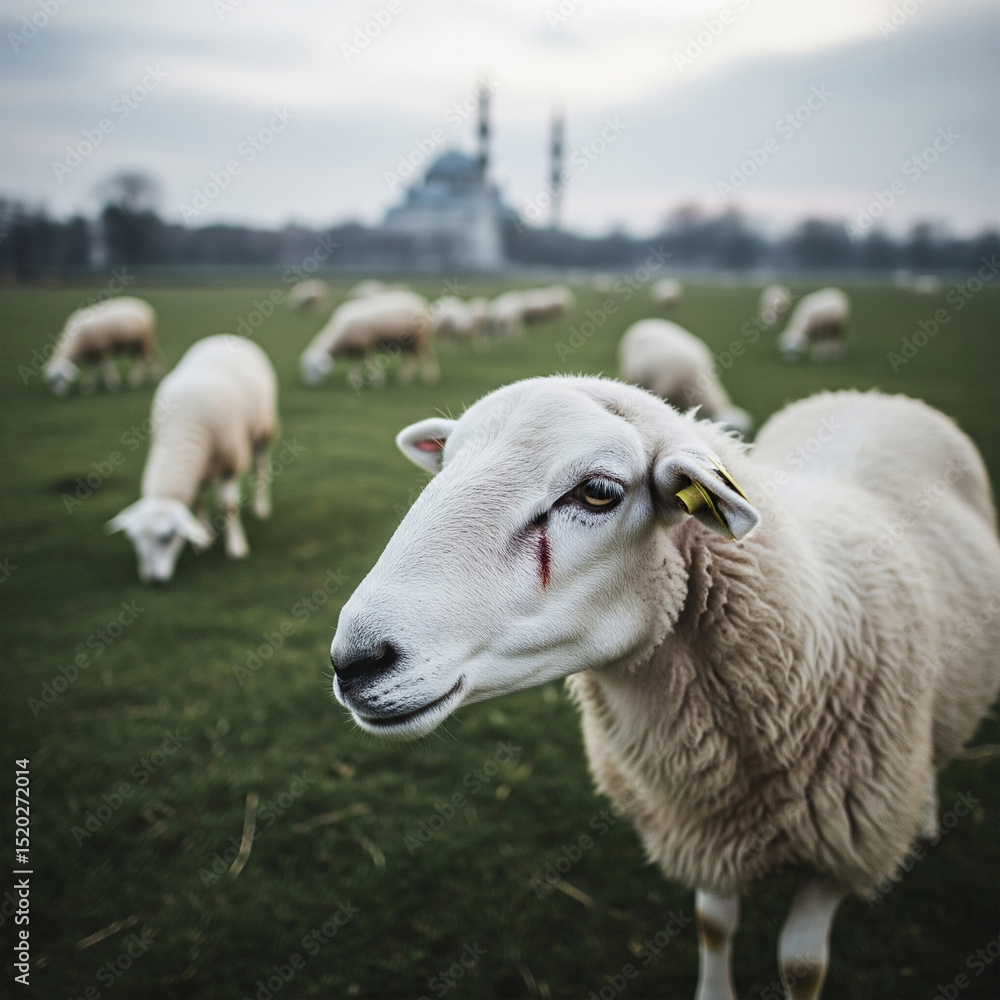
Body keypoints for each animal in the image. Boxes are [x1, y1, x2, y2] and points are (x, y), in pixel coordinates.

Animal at [107, 335, 278, 583]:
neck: (181, 429)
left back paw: (261, 507)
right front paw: (205, 539)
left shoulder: (229, 465)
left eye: (166, 537)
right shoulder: (195, 472)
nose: (153, 581)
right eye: (135, 540)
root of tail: (223, 336)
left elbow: (228, 508)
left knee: (260, 468)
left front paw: (236, 548)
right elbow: (197, 505)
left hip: (262, 430)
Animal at [300, 290, 437, 388]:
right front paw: (353, 380)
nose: (309, 386)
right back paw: (404, 378)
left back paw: (430, 378)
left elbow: (371, 362)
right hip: (408, 341)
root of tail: (422, 301)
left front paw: (378, 382)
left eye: (313, 369)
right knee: (411, 359)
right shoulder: (354, 349)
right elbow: (354, 364)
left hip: (421, 337)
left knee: (425, 356)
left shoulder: (368, 343)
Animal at [328, 375, 1000, 1000]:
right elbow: (713, 924)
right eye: (443, 464)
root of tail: (873, 394)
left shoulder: (842, 851)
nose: (354, 662)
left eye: (598, 491)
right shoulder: (700, 822)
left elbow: (802, 966)